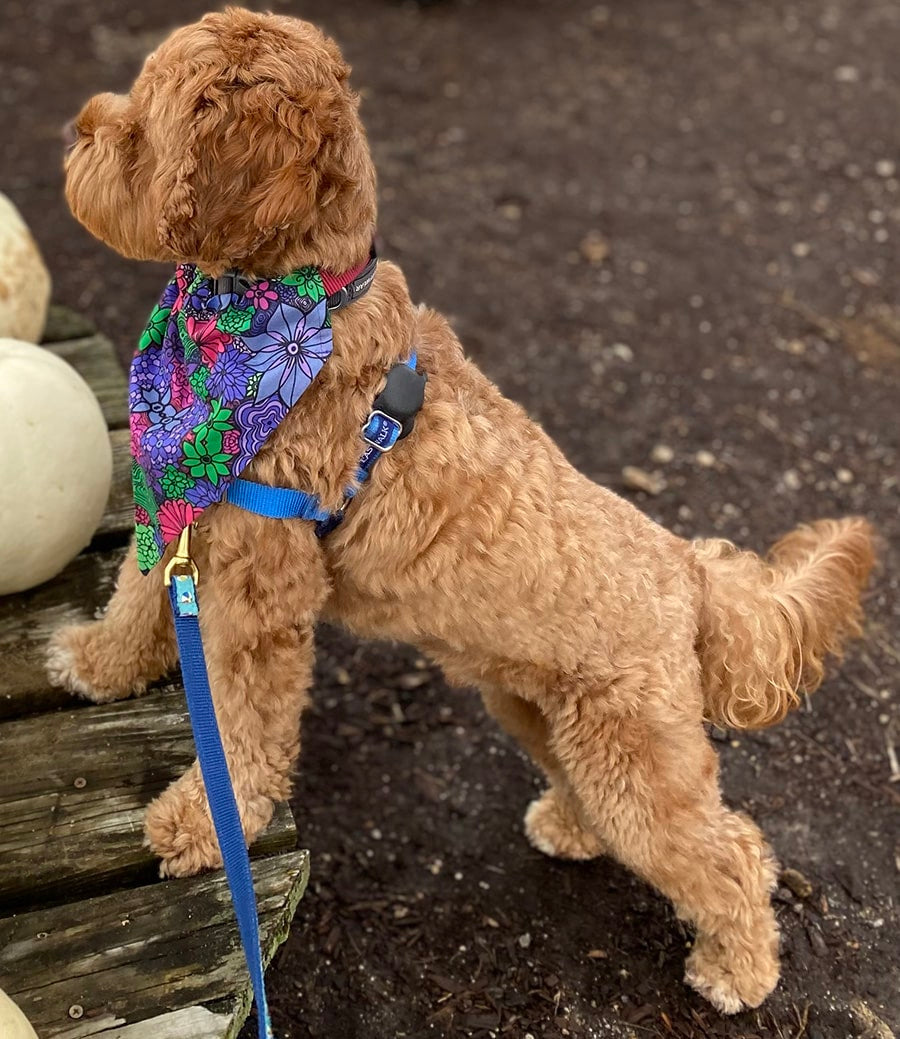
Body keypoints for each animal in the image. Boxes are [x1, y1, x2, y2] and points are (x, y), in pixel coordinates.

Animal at [45, 8, 872, 1014]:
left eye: (144, 129)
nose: (81, 127)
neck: (282, 318)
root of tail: (688, 570)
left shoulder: (261, 601)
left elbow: (240, 731)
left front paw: (204, 827)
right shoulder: (185, 519)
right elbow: (135, 600)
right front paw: (96, 662)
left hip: (637, 754)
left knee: (730, 850)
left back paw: (739, 966)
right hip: (548, 714)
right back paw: (571, 825)